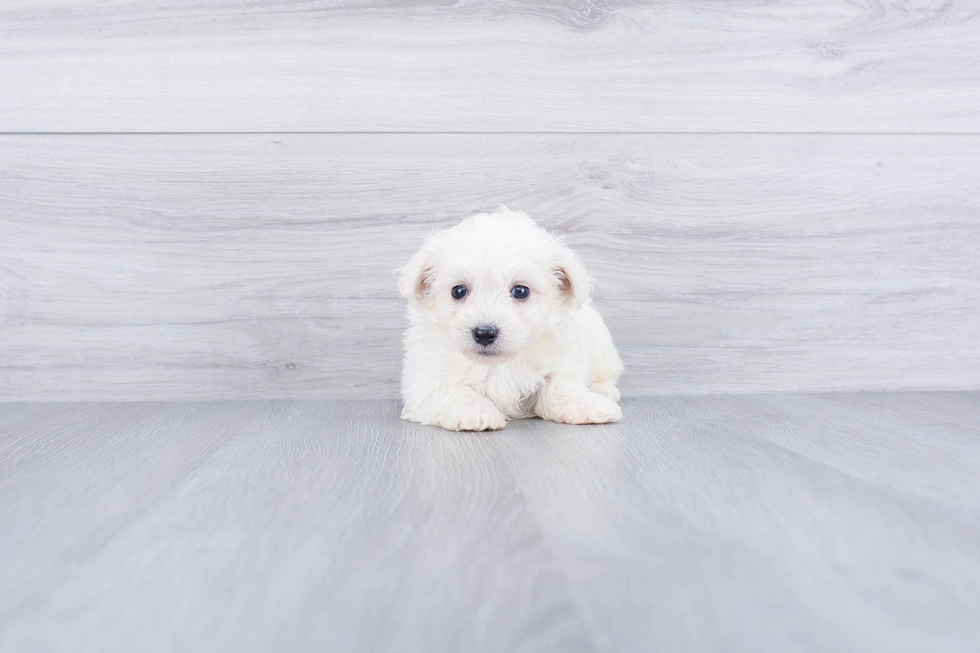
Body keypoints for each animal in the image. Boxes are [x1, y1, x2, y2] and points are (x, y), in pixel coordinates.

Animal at [396, 209, 620, 430]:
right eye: (458, 291)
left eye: (520, 291)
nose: (485, 333)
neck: (498, 364)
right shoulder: (424, 379)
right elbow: (450, 389)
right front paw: (473, 411)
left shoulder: (562, 362)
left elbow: (560, 386)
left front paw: (586, 406)